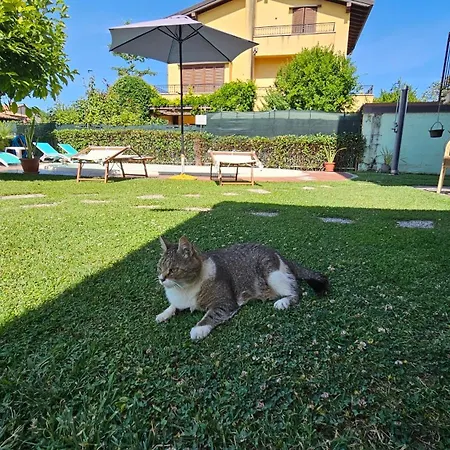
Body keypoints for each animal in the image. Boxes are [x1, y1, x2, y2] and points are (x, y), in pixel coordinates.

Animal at [156, 236, 329, 340]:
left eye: (173, 270)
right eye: (159, 268)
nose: (161, 279)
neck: (184, 289)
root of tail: (278, 253)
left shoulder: (225, 303)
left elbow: (211, 315)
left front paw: (199, 329)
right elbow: (173, 306)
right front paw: (164, 313)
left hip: (272, 274)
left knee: (296, 292)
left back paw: (283, 302)